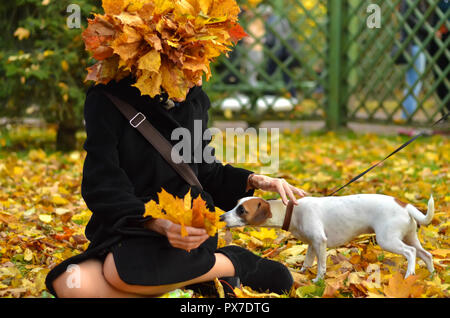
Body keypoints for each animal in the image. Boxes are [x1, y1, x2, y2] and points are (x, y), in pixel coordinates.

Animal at [221, 194, 436, 280]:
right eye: (236, 205)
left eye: (241, 210)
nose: (222, 217)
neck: (292, 210)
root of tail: (404, 204)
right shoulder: (311, 244)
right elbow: (308, 262)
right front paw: (302, 274)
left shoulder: (320, 242)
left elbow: (321, 266)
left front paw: (317, 281)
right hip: (409, 236)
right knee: (426, 255)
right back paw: (432, 276)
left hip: (388, 240)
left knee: (411, 253)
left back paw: (409, 274)